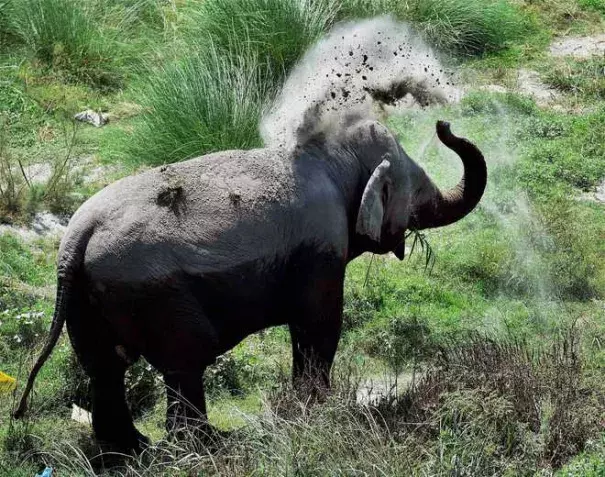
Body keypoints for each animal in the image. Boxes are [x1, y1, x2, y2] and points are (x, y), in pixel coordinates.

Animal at [14, 118, 486, 454]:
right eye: (419, 189)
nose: (444, 124)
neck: (331, 157)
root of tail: (76, 237)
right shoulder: (320, 249)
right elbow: (320, 325)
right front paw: (318, 412)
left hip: (87, 296)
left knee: (105, 368)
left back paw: (133, 452)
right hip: (154, 293)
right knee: (185, 359)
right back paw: (203, 447)